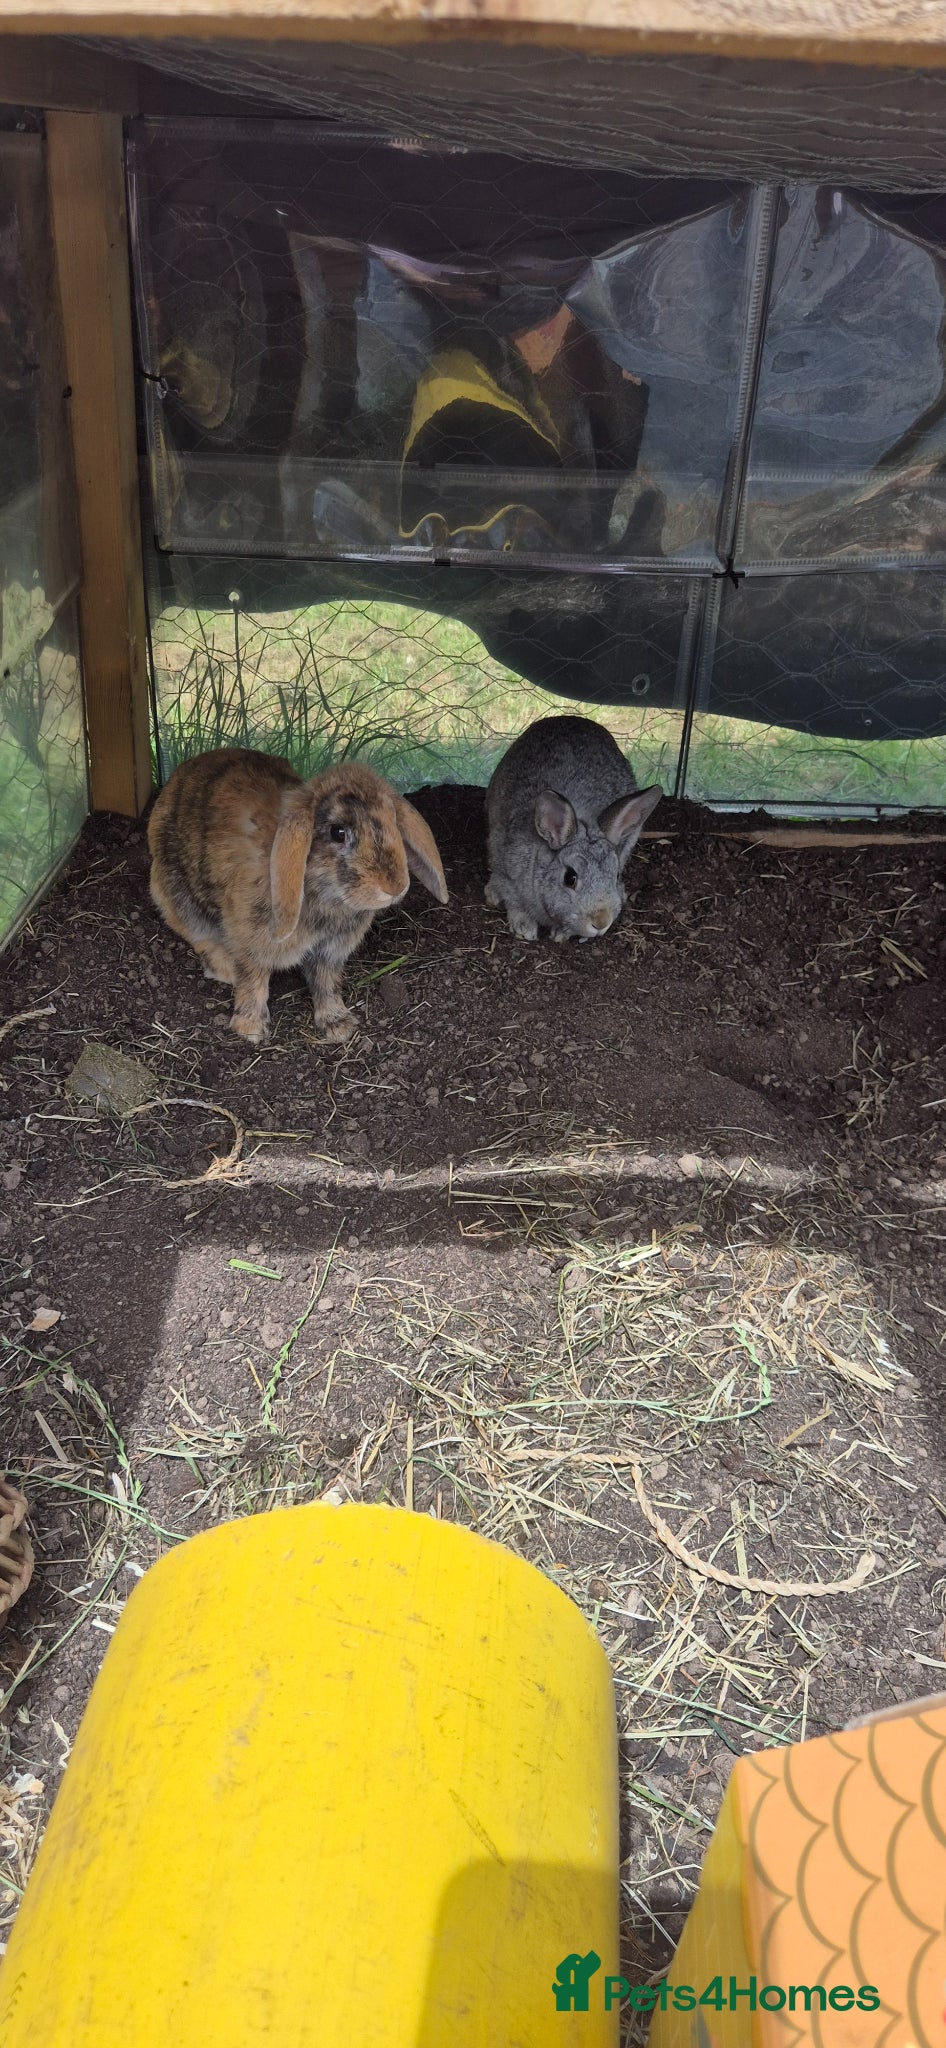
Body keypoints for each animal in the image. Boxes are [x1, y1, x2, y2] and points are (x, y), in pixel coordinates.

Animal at [148, 746, 448, 1045]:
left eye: (393, 821)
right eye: (338, 832)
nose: (394, 886)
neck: (324, 895)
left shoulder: (330, 953)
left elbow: (326, 984)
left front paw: (339, 1026)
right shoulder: (250, 941)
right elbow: (252, 979)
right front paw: (250, 1029)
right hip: (174, 895)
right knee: (197, 934)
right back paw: (224, 968)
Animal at [485, 715, 662, 943]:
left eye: (616, 876)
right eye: (570, 878)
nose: (601, 922)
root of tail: (569, 718)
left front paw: (562, 934)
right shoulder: (507, 872)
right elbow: (515, 903)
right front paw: (525, 929)